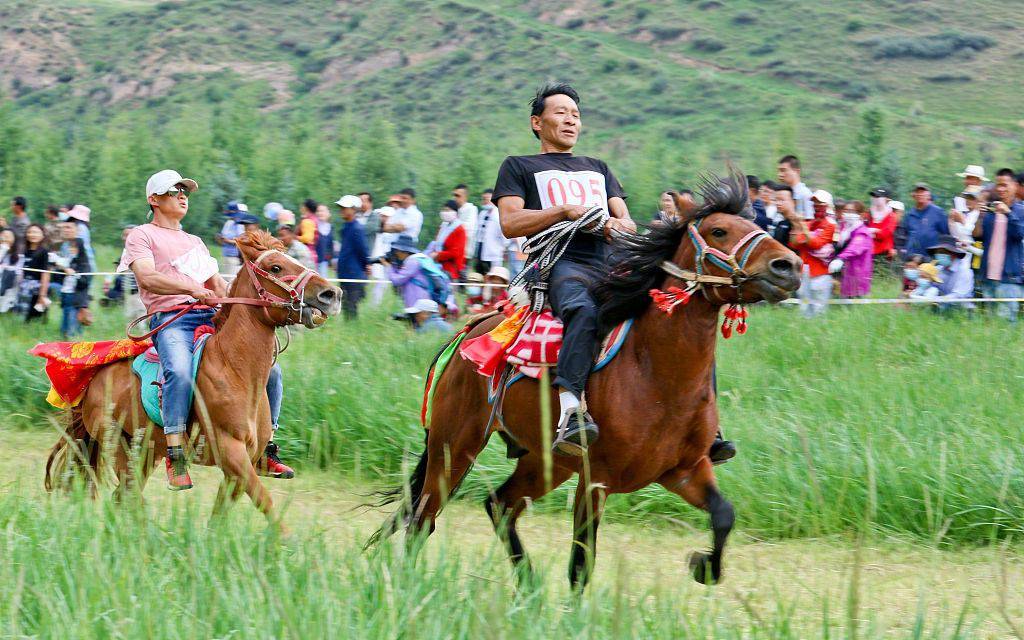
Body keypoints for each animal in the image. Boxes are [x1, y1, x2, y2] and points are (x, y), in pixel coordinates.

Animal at [46, 232, 342, 522]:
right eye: (276, 267)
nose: (332, 293)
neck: (233, 369)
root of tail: (94, 380)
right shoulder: (231, 453)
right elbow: (268, 506)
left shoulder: (240, 465)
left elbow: (220, 518)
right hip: (119, 444)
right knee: (128, 494)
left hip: (146, 452)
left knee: (125, 496)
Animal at [372, 173, 802, 589]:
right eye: (718, 230)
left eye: (755, 222)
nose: (790, 266)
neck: (658, 378)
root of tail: (467, 331)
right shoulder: (597, 479)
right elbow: (581, 565)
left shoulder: (685, 470)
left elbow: (724, 515)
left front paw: (703, 566)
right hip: (454, 447)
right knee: (423, 517)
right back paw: (409, 585)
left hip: (544, 462)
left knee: (498, 505)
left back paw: (529, 586)